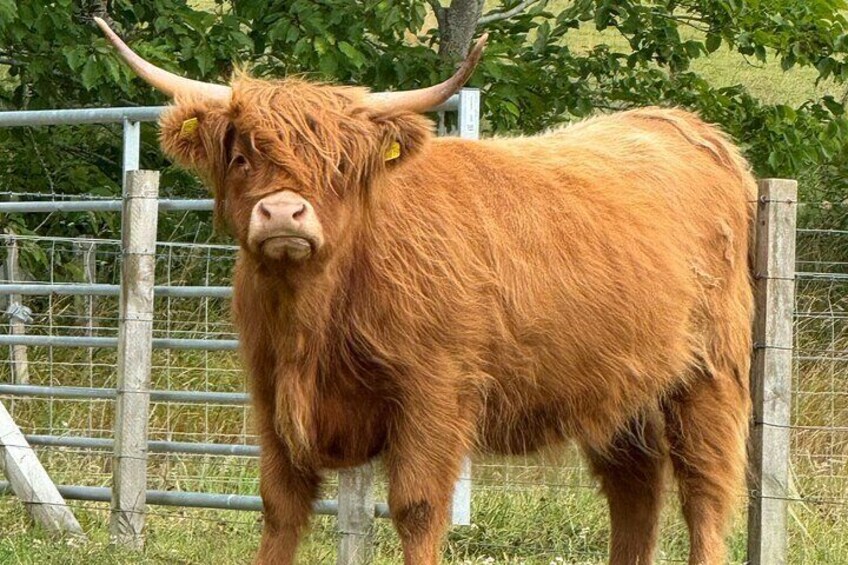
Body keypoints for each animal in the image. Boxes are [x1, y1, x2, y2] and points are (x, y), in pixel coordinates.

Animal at [97, 18, 755, 565]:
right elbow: (280, 507)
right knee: (634, 494)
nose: (283, 213)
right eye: (240, 156)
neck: (313, 322)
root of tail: (683, 124)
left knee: (705, 490)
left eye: (339, 165)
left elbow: (416, 508)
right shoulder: (268, 394)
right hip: (622, 390)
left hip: (711, 374)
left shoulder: (435, 391)